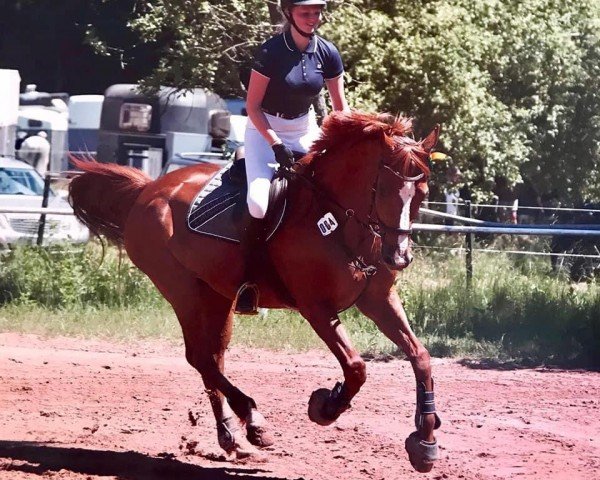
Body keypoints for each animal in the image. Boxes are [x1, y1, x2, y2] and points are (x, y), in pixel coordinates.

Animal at [69, 109, 440, 472]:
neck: (339, 220)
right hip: (183, 291)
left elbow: (420, 356)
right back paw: (254, 421)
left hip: (216, 296)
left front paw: (425, 440)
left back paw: (231, 436)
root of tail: (149, 189)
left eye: (422, 193)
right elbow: (356, 367)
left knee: (212, 358)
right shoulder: (315, 307)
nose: (399, 257)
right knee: (199, 357)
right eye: (385, 190)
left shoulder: (378, 299)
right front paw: (325, 406)